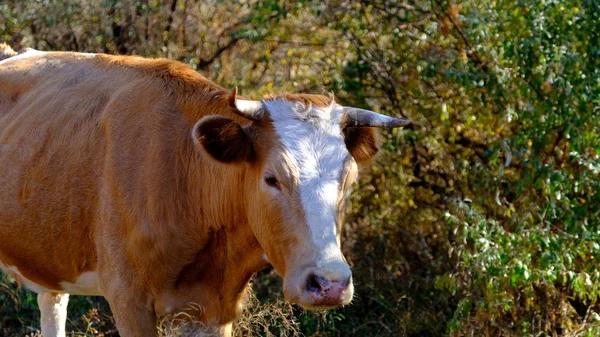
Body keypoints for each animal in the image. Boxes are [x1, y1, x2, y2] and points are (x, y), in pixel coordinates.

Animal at [0, 45, 410, 336]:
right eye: (272, 178)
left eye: (348, 180)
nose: (330, 284)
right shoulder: (128, 300)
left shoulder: (213, 310)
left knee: (52, 302)